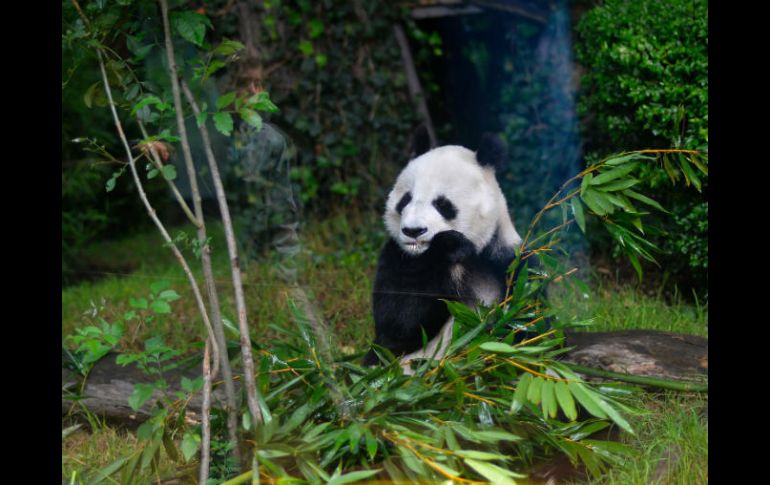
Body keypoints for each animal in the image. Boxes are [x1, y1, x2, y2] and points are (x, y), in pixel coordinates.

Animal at [362, 132, 524, 371]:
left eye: (442, 204)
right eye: (406, 199)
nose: (413, 230)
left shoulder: (508, 261)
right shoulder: (396, 257)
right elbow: (396, 324)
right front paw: (446, 245)